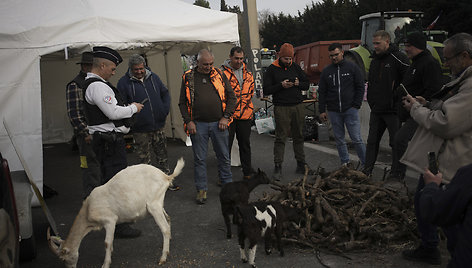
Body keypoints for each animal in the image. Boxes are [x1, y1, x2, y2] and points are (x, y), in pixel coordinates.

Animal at [48, 157, 184, 268]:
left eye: (63, 258)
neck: (88, 211)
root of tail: (166, 177)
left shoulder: (110, 220)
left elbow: (107, 243)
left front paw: (105, 264)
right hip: (159, 203)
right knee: (168, 218)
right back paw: (168, 242)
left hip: (153, 205)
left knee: (164, 228)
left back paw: (163, 258)